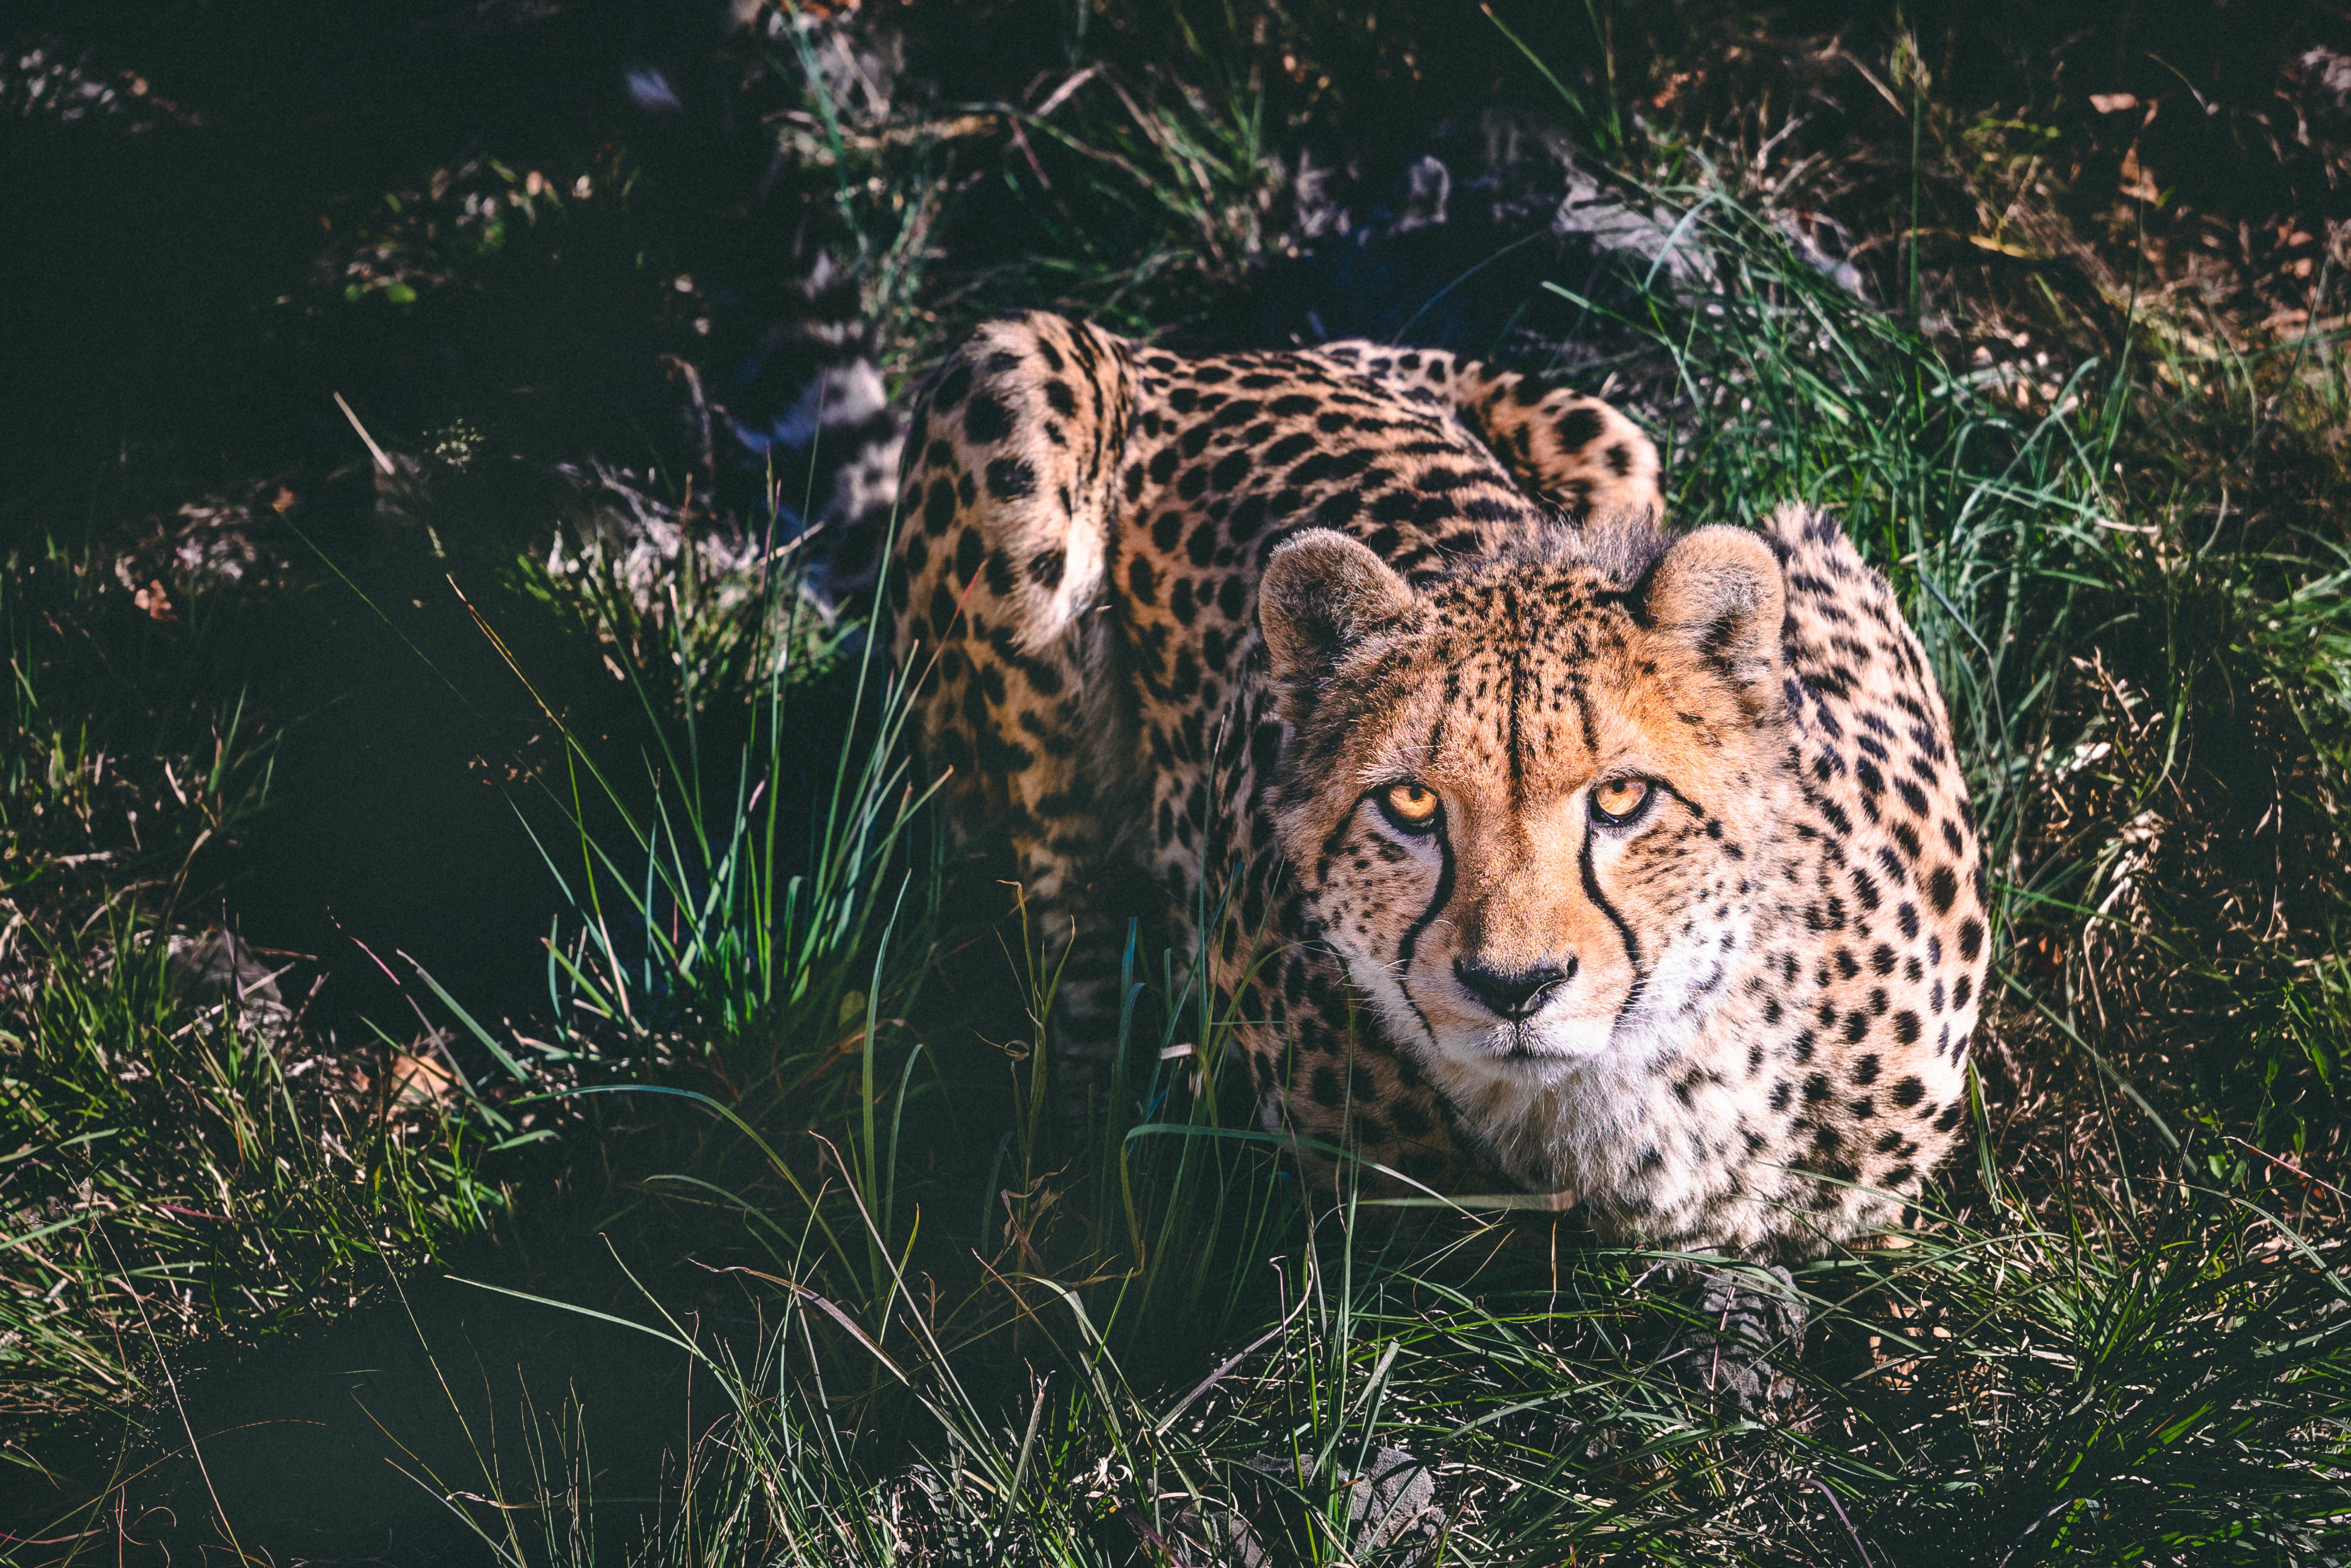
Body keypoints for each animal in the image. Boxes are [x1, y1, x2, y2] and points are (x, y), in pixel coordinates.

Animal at [888, 313, 1993, 1269]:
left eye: (1622, 798)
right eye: (1411, 804)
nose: (1516, 985)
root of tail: (1202, 354)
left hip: (1616, 441)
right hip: (1013, 377)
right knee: (1056, 914)